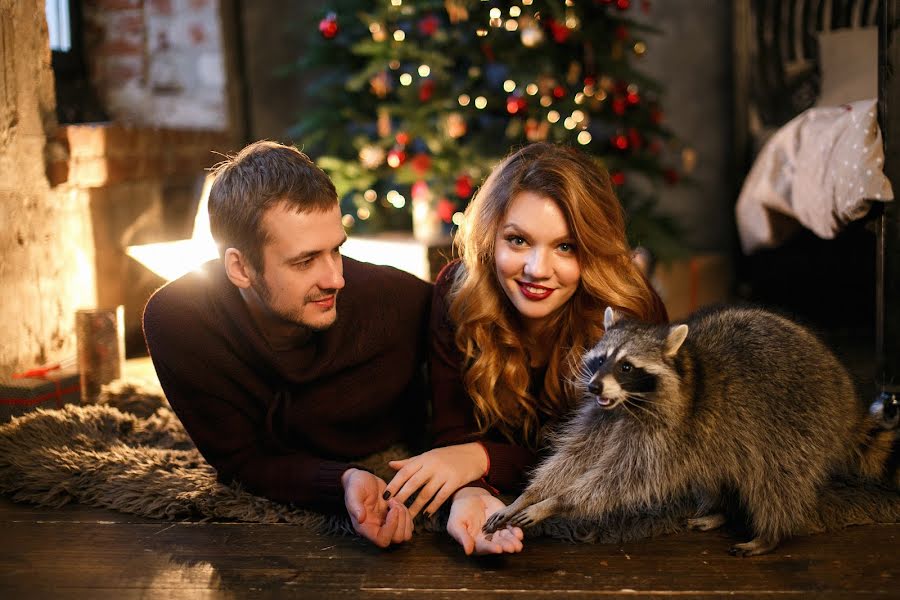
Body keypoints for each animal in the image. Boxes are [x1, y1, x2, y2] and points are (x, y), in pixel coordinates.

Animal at [486, 308, 892, 556]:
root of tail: (847, 403)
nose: (594, 387)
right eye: (601, 360)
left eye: (627, 367)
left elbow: (621, 480)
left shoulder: (666, 434)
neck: (628, 404)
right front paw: (528, 496)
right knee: (719, 467)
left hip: (798, 421)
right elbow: (572, 458)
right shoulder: (604, 419)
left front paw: (556, 503)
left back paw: (770, 533)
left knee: (776, 477)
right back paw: (720, 509)